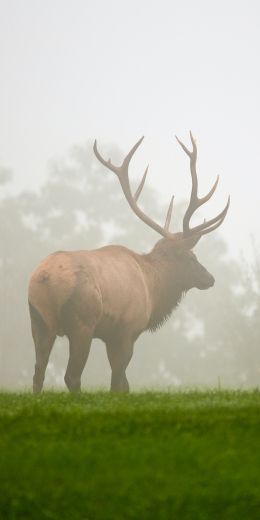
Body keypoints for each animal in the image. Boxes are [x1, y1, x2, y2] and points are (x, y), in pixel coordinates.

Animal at [28, 132, 230, 392]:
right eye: (191, 257)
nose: (210, 278)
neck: (153, 289)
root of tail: (45, 278)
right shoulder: (126, 330)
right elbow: (118, 383)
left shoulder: (112, 335)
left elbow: (124, 384)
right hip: (82, 322)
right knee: (71, 376)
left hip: (38, 320)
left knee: (38, 374)